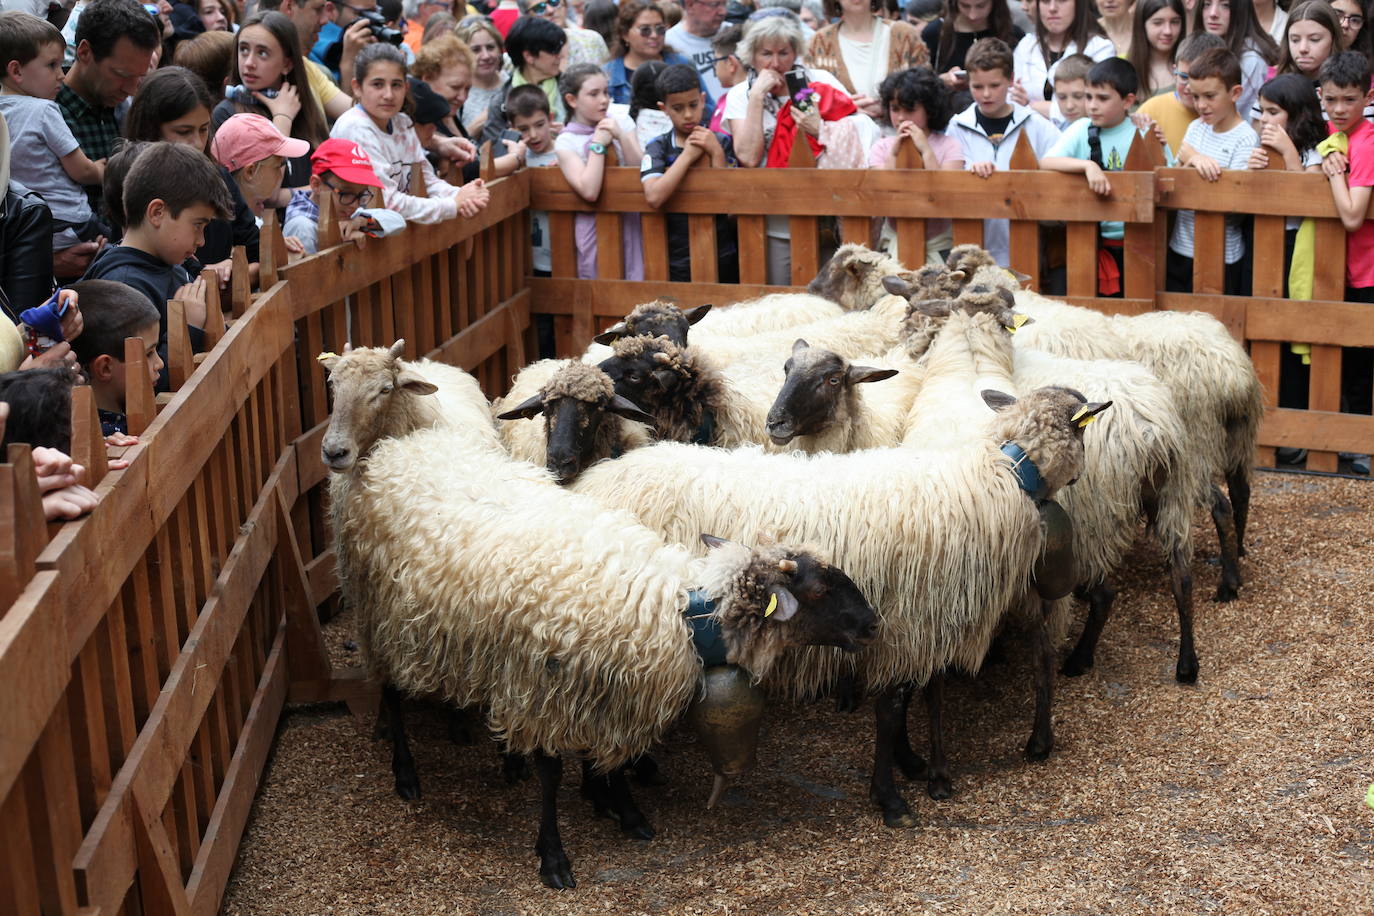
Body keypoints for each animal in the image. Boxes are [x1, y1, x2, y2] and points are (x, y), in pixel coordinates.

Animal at [571, 384, 1115, 829]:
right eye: (1083, 429)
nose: (1082, 477)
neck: (1001, 472)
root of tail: (595, 477)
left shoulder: (921, 620)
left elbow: (919, 696)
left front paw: (915, 765)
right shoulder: (913, 619)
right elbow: (896, 707)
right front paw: (898, 795)